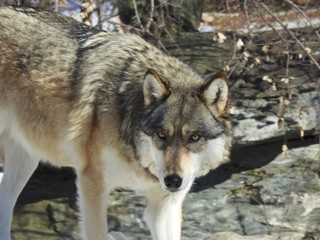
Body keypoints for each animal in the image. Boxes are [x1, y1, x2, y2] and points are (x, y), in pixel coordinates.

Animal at [0, 6, 231, 240]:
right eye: (161, 135)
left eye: (194, 137)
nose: (173, 181)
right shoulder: (92, 182)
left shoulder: (166, 205)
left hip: (26, 161)